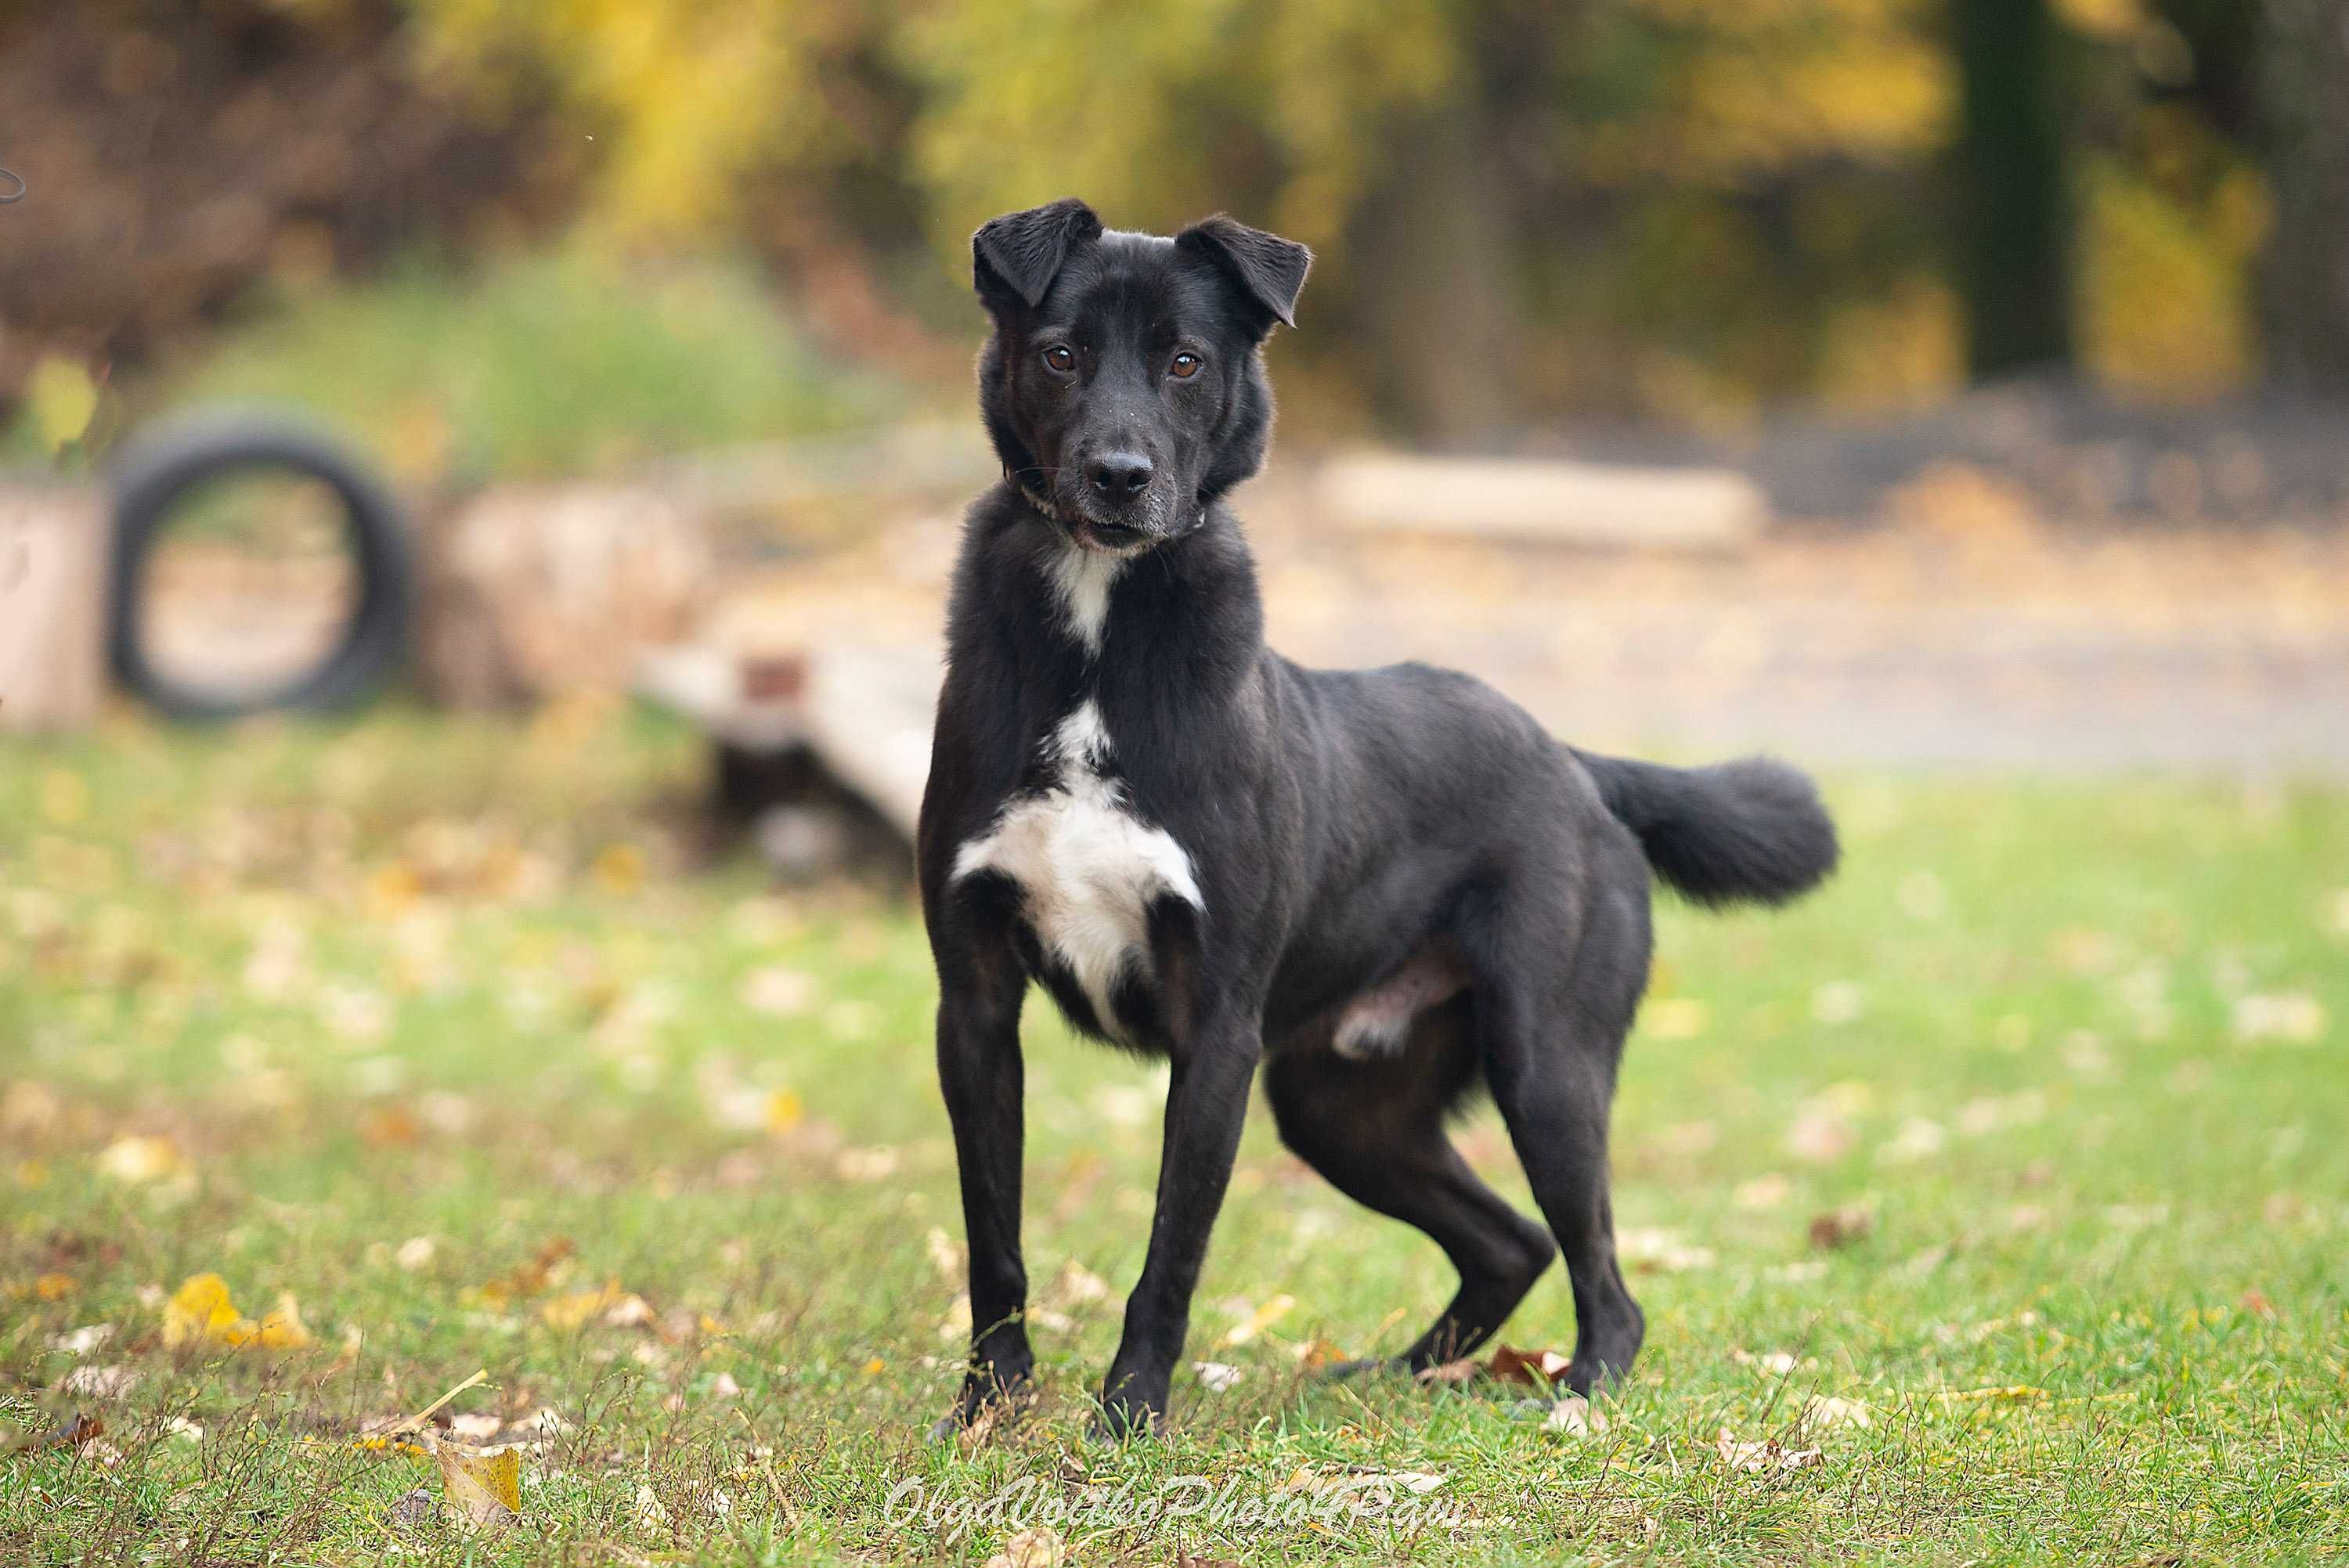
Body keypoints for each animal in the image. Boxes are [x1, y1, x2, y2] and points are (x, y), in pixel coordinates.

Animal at [916, 201, 1832, 1436]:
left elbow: (1171, 1252)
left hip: (1546, 1065)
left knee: (1602, 1269)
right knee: (1512, 1241)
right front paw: (991, 1406)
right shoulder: (974, 1008)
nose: (1119, 476)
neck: (1100, 634)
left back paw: (1581, 1392)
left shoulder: (1217, 1030)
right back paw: (1403, 1375)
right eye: (1061, 354)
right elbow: (994, 1238)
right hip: (1342, 1104)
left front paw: (1130, 1414)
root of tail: (1574, 761)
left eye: (1185, 362)